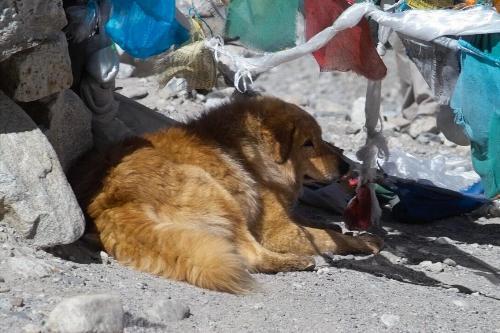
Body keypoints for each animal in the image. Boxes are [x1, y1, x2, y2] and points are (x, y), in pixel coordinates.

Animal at [70, 96, 382, 294]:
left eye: (321, 138)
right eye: (308, 143)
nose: (345, 166)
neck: (248, 151)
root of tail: (113, 203)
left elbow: (320, 227)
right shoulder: (280, 231)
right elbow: (328, 238)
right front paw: (366, 242)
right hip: (220, 195)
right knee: (252, 257)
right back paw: (297, 262)